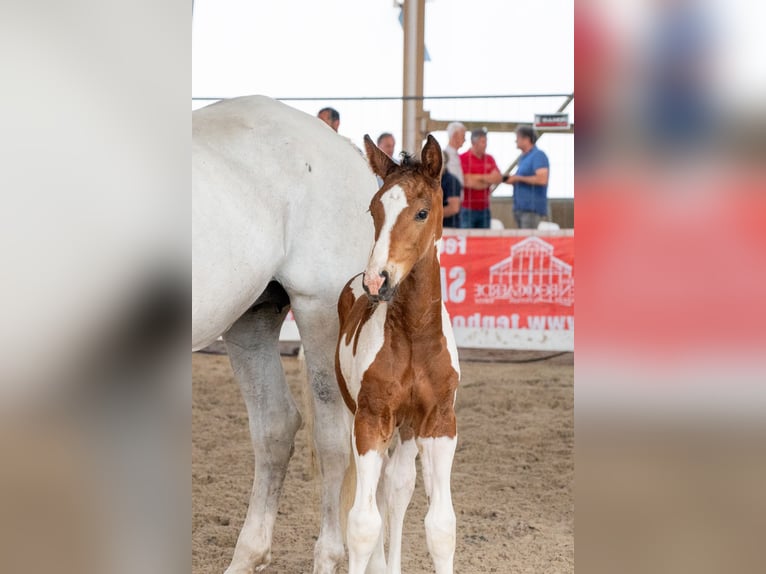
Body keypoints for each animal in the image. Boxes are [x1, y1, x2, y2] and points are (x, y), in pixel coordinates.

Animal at [192, 95, 377, 574]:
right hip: (252, 317)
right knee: (274, 426)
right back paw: (247, 556)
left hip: (319, 309)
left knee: (332, 440)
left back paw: (328, 556)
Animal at [335, 134, 461, 574]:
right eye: (374, 209)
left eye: (422, 212)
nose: (378, 281)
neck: (414, 335)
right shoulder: (372, 418)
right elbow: (361, 524)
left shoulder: (439, 422)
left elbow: (441, 526)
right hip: (355, 415)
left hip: (406, 428)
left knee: (397, 487)